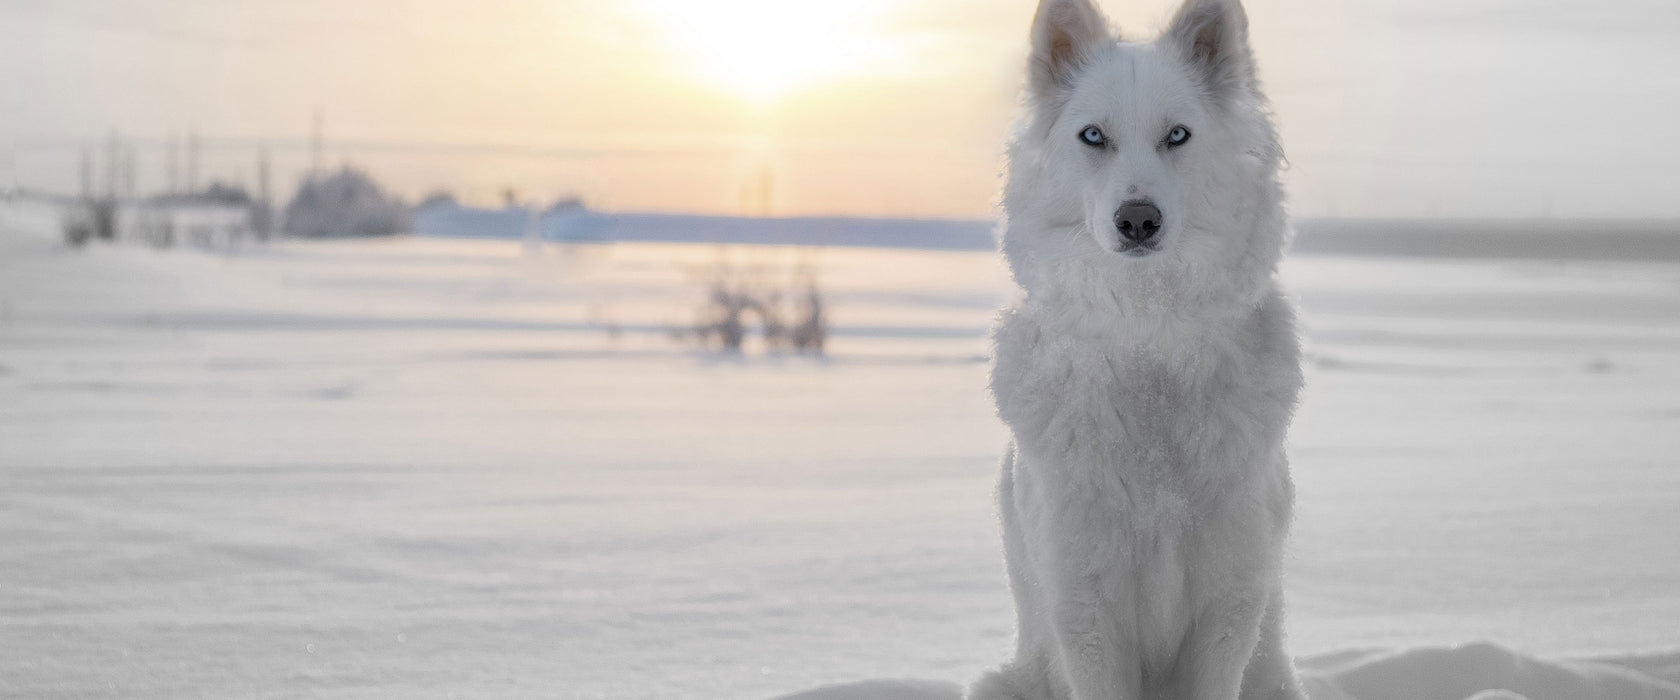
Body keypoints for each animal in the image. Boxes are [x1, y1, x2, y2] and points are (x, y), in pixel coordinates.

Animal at [974, 1, 1310, 698]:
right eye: (1093, 136)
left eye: (1177, 135)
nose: (1137, 220)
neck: (1148, 338)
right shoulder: (1084, 605)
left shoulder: (1229, 604)